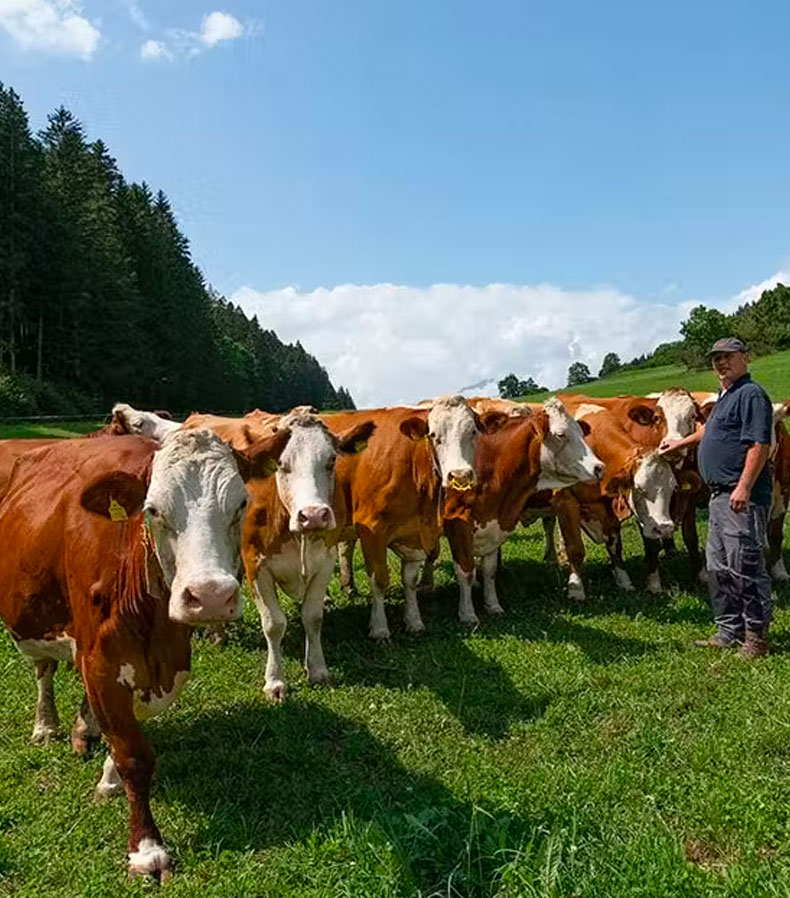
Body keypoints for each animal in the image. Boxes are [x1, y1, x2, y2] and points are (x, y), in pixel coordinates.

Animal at [0, 428, 290, 876]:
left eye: (241, 502)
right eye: (153, 510)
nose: (209, 596)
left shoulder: (170, 662)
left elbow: (128, 730)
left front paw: (106, 772)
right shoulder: (99, 659)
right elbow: (133, 755)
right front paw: (146, 847)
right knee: (43, 670)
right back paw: (45, 724)